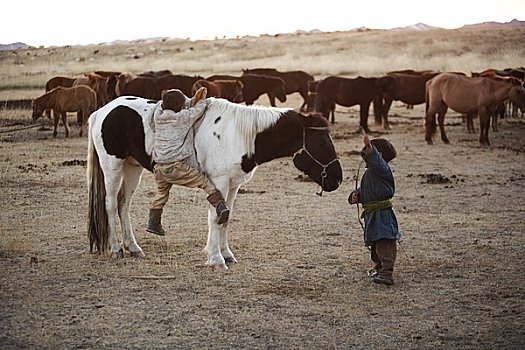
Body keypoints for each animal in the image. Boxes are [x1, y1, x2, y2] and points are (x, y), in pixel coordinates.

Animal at [87, 91, 342, 270]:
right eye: (321, 143)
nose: (337, 180)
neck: (238, 134)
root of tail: (102, 111)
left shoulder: (234, 184)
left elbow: (226, 217)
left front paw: (226, 254)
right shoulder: (219, 182)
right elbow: (215, 217)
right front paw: (215, 258)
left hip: (132, 168)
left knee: (123, 205)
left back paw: (133, 247)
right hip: (113, 166)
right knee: (110, 204)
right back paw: (117, 248)